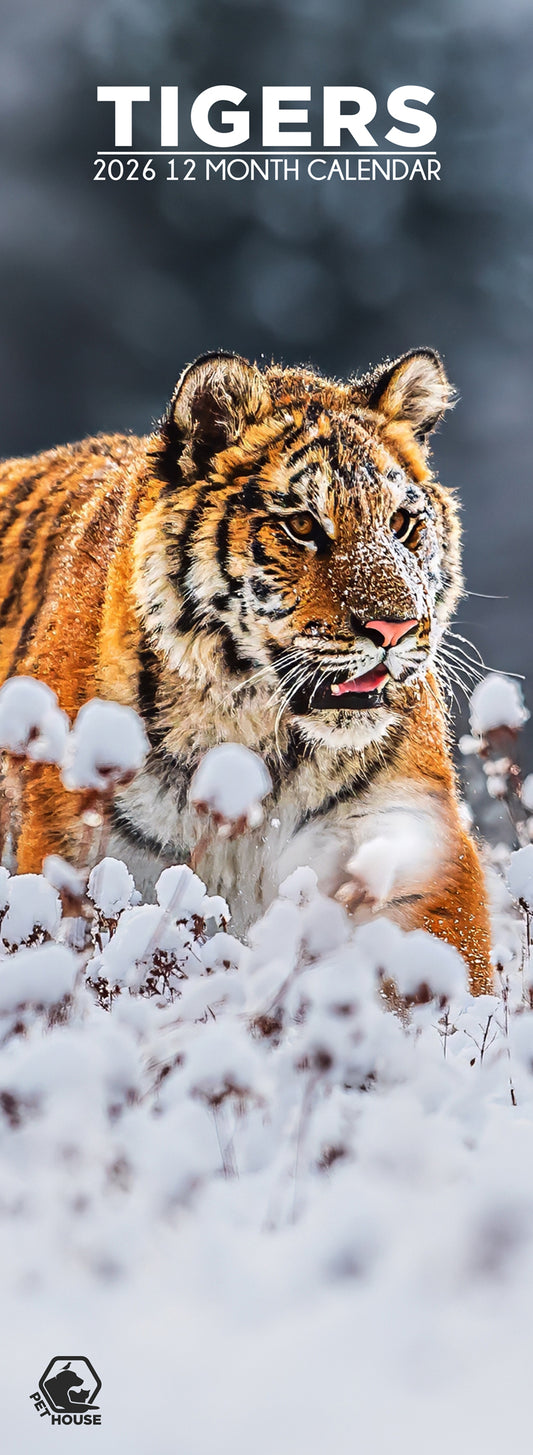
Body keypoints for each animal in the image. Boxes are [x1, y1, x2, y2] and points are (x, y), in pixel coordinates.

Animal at [0, 348, 492, 992]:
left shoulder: (411, 843)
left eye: (402, 525)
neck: (263, 746)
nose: (396, 628)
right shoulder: (80, 853)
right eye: (302, 526)